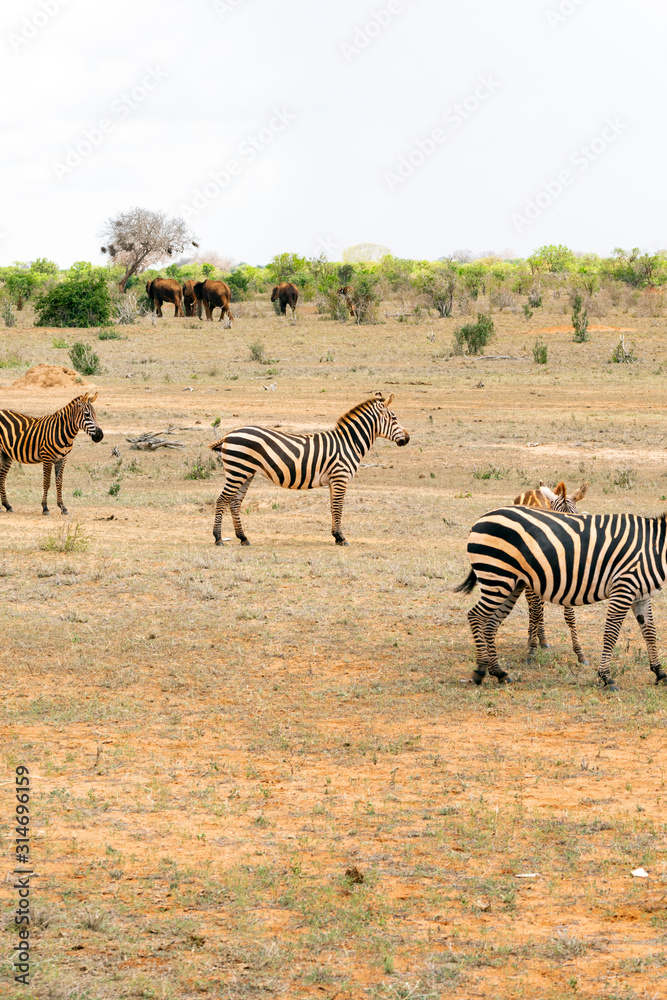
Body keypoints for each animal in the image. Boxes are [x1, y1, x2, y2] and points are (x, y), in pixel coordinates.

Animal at [209, 392, 410, 546]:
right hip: (238, 471)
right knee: (221, 500)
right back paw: (218, 538)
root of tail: (228, 434)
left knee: (234, 503)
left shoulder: (333, 481)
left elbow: (333, 507)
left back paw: (243, 538)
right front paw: (342, 538)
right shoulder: (340, 477)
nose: (407, 439)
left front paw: (336, 536)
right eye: (394, 417)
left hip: (245, 472)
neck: (349, 442)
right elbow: (338, 507)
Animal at [454, 506, 667, 692]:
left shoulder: (641, 596)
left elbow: (650, 633)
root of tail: (482, 518)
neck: (656, 549)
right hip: (497, 578)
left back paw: (499, 672)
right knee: (475, 616)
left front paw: (660, 673)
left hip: (510, 584)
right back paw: (480, 670)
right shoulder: (623, 588)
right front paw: (606, 677)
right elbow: (611, 633)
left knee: (490, 624)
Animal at [514, 480, 590, 664]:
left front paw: (580, 653)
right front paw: (531, 650)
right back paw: (532, 637)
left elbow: (569, 614)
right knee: (533, 604)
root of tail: (533, 491)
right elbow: (535, 610)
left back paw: (542, 638)